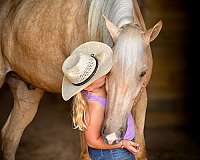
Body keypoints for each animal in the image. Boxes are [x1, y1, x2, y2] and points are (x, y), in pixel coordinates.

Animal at [0, 0, 162, 159]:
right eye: (109, 70)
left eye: (143, 73)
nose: (111, 135)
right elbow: (86, 153)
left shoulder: (141, 97)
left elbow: (141, 150)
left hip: (26, 95)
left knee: (9, 138)